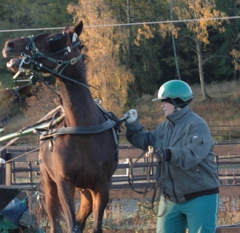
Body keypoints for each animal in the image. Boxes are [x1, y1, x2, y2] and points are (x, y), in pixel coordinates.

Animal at [1, 20, 118, 233]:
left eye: (54, 39)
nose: (10, 45)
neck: (83, 129)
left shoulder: (102, 186)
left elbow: (94, 225)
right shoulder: (64, 184)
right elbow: (71, 224)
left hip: (86, 190)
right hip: (50, 185)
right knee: (55, 220)